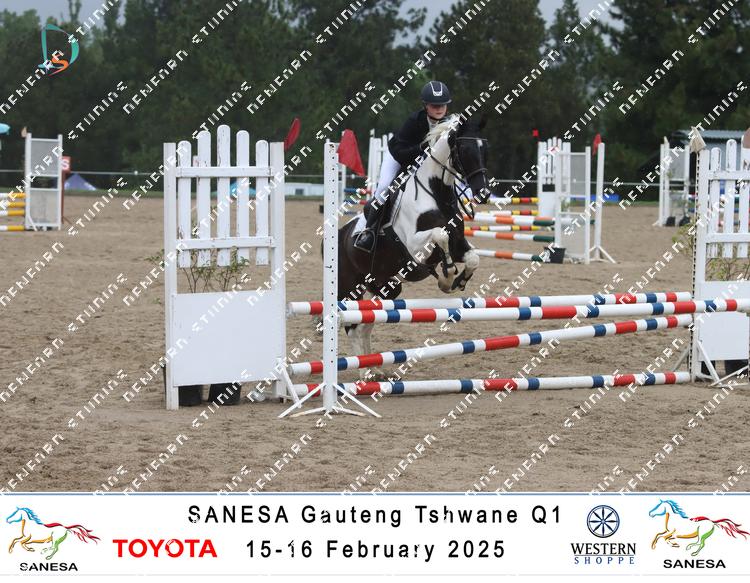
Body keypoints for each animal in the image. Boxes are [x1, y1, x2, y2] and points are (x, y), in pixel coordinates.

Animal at [337, 114, 491, 380]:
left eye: (485, 149)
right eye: (465, 149)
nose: (483, 193)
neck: (437, 194)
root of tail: (338, 235)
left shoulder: (459, 245)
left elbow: (473, 258)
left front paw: (457, 281)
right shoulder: (415, 246)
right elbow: (440, 235)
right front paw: (447, 276)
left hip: (385, 288)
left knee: (365, 326)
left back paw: (373, 369)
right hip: (351, 289)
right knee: (351, 325)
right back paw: (364, 374)